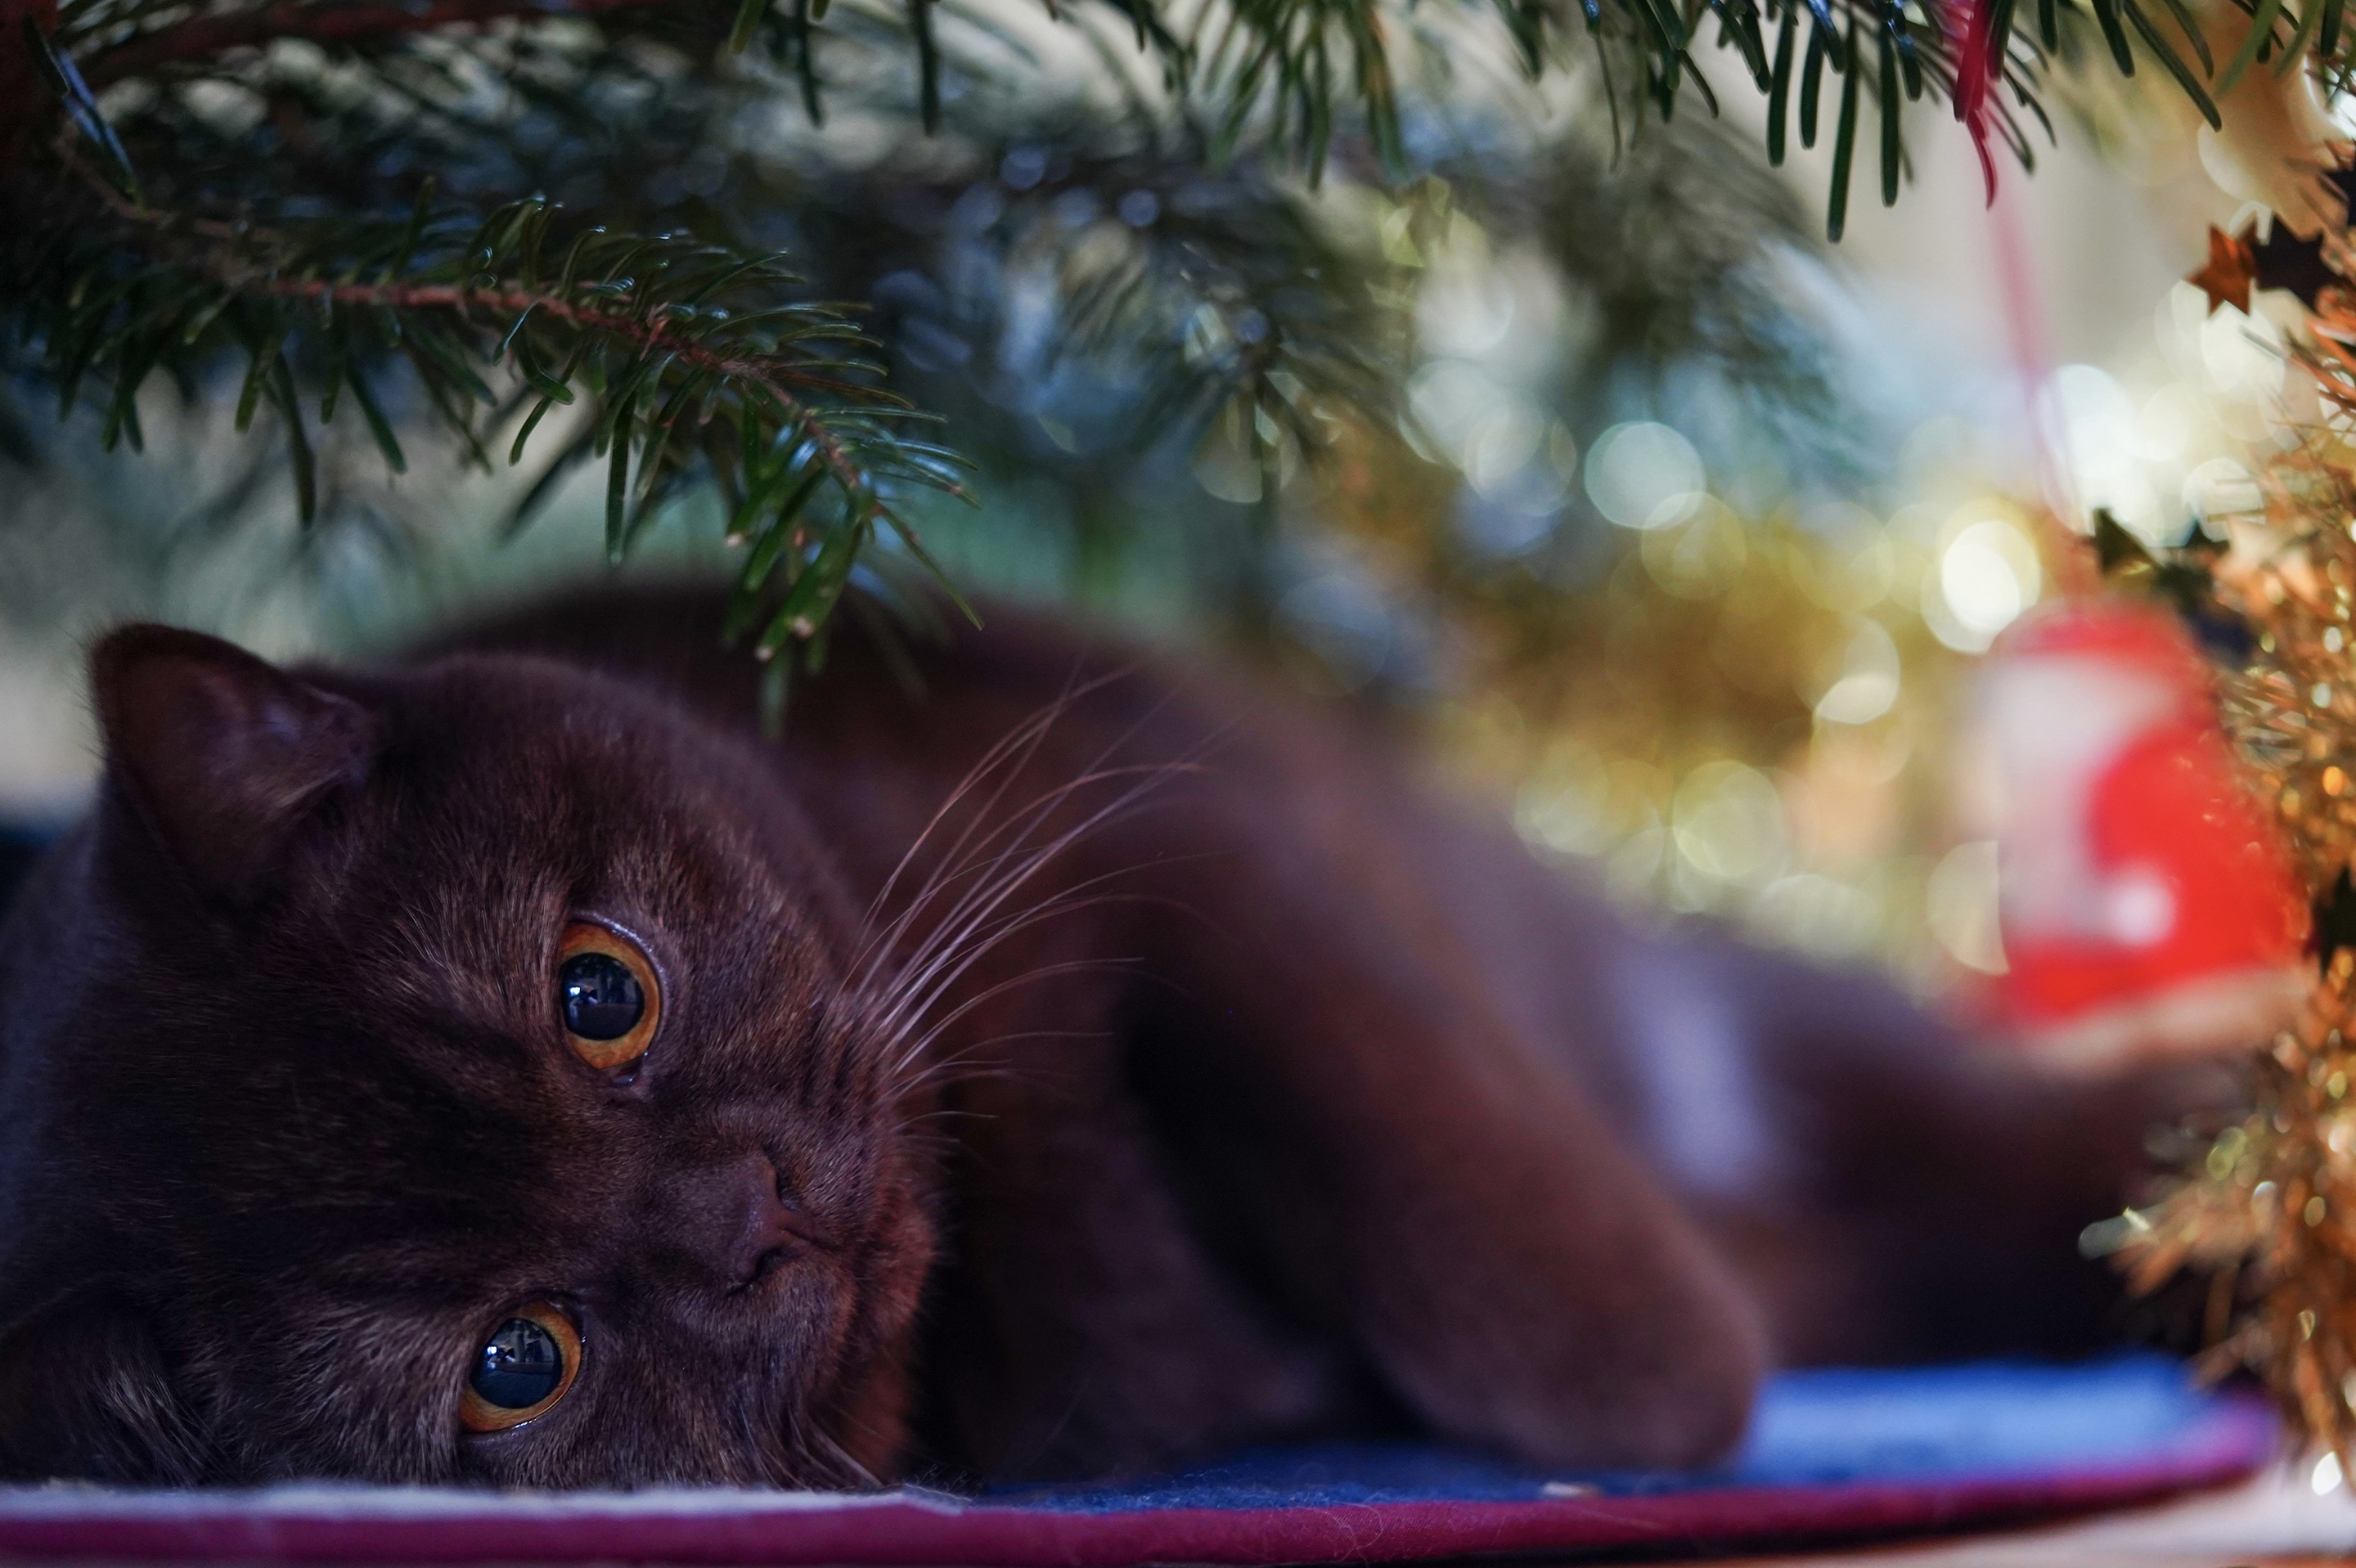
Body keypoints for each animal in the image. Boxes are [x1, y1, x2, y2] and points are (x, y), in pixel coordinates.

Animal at [0, 579, 2205, 1488]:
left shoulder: (1175, 817)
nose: (749, 1213)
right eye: (513, 1363)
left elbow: (1494, 1246)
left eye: (596, 993)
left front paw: (1655, 1361)